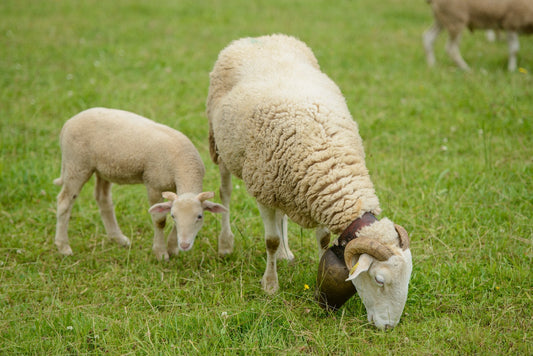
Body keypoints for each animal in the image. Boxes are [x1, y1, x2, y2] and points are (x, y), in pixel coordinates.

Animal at [55, 107, 225, 260]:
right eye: (173, 216)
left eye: (200, 216)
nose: (184, 245)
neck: (184, 166)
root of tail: (68, 123)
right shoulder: (153, 185)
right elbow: (159, 221)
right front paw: (161, 253)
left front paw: (172, 248)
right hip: (76, 164)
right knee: (64, 201)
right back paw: (63, 247)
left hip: (102, 169)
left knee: (102, 198)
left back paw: (118, 238)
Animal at [206, 34, 414, 330]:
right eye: (379, 280)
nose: (388, 327)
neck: (328, 158)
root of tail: (259, 38)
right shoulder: (263, 189)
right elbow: (269, 240)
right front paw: (270, 285)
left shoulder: (313, 191)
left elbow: (324, 239)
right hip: (221, 147)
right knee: (225, 195)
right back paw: (226, 244)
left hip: (280, 184)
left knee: (281, 214)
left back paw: (285, 253)